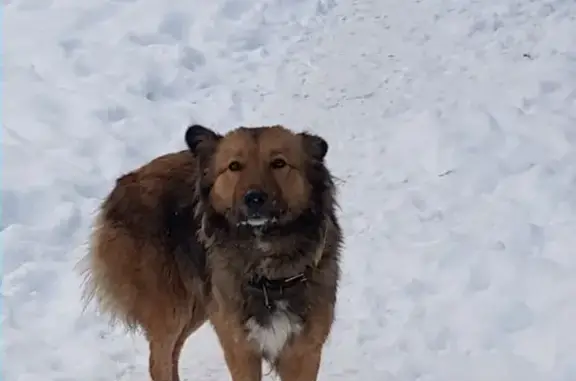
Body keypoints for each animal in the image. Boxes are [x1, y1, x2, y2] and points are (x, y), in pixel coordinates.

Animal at [80, 123, 342, 378]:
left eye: (278, 163)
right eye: (234, 166)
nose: (254, 198)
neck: (267, 271)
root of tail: (122, 184)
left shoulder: (305, 351)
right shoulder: (239, 348)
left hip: (199, 306)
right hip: (173, 309)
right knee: (159, 362)